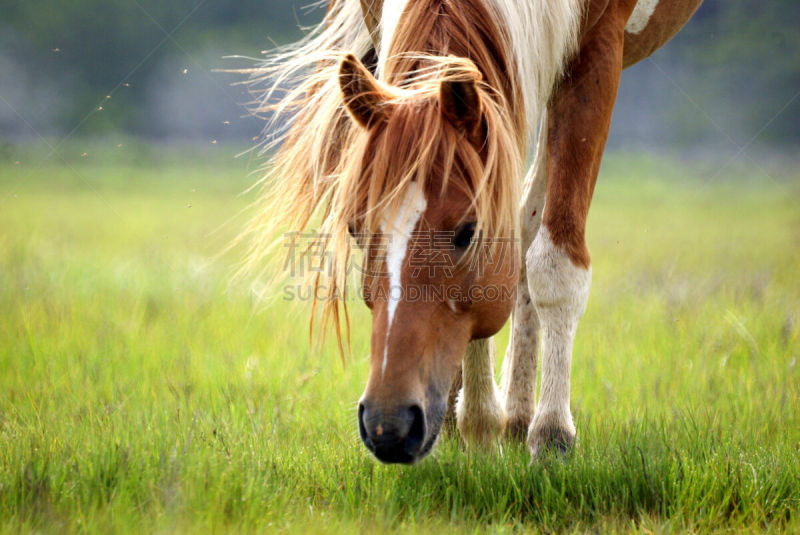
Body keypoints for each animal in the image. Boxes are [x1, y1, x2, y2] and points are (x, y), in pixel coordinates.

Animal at [241, 0, 704, 464]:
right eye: (355, 230)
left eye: (468, 233)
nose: (388, 425)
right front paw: (472, 424)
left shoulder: (597, 50)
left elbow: (553, 266)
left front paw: (547, 434)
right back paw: (503, 417)